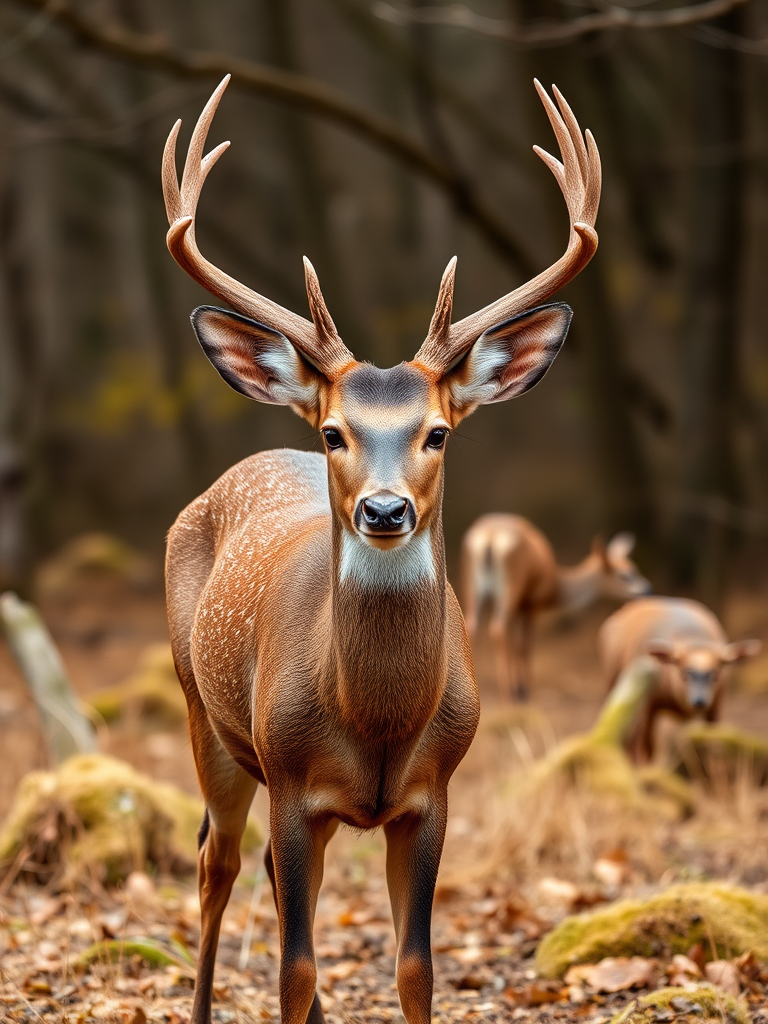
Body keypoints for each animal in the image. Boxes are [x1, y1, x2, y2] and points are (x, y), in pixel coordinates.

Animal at [161, 75, 600, 1024]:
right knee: (216, 862)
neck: (376, 721)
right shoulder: (293, 782)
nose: (386, 508)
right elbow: (293, 968)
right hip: (205, 712)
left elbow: (414, 967)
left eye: (437, 432)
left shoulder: (432, 794)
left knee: (249, 867)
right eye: (334, 431)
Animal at [461, 515, 650, 701]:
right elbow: (524, 645)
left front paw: (521, 689)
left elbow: (516, 644)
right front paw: (526, 691)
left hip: (475, 591)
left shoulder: (520, 608)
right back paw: (507, 694)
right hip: (509, 592)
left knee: (473, 627)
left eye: (634, 568)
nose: (647, 589)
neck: (556, 584)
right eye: (624, 575)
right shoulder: (531, 605)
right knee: (498, 629)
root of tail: (490, 537)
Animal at [599, 596, 761, 762]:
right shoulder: (648, 705)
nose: (699, 701)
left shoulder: (717, 702)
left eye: (716, 673)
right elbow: (648, 748)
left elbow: (712, 740)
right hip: (615, 685)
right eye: (684, 673)